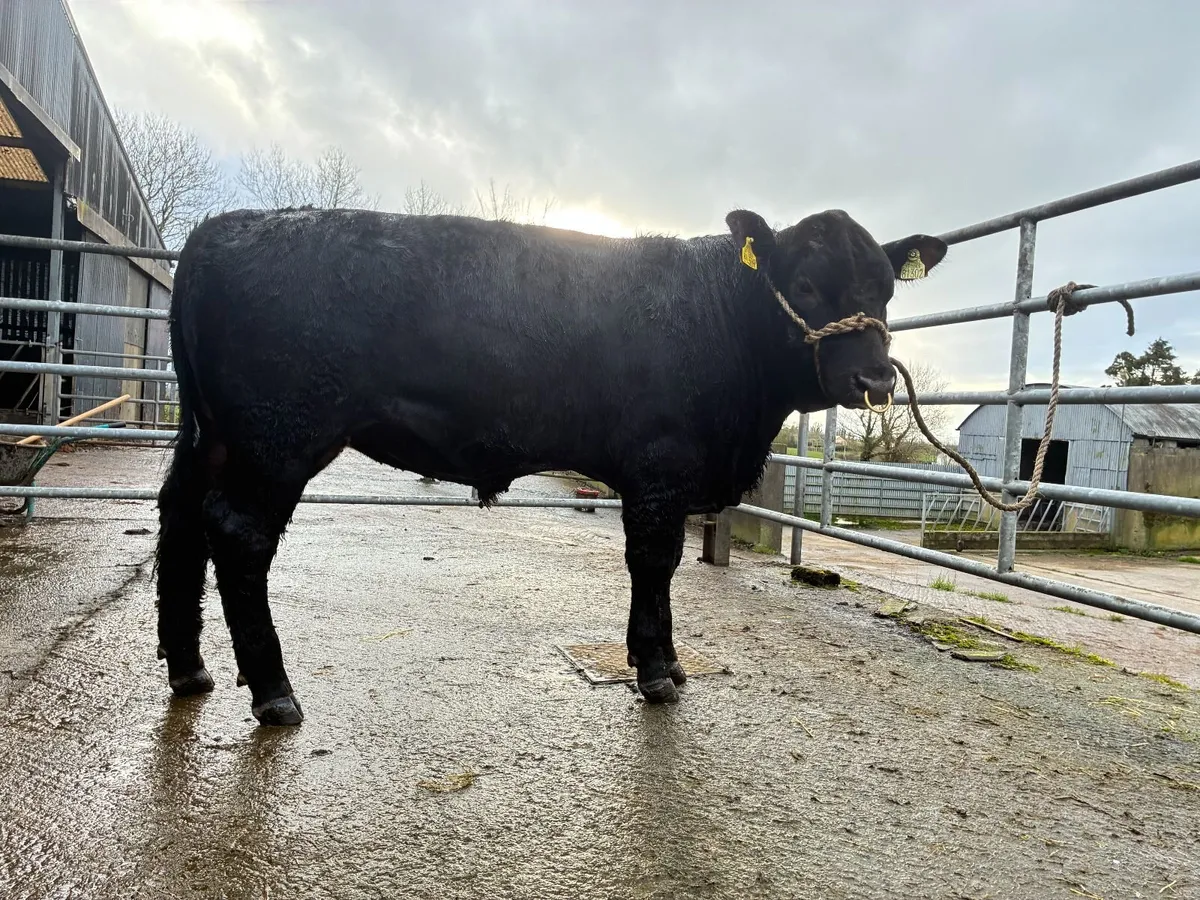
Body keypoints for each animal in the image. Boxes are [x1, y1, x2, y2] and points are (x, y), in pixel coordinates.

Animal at [154, 205, 947, 726]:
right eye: (807, 287)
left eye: (885, 290)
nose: (875, 379)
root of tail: (224, 224)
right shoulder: (660, 466)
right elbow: (654, 563)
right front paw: (657, 672)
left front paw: (662, 661)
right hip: (278, 437)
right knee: (238, 533)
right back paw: (273, 692)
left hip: (212, 435)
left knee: (180, 517)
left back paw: (189, 670)